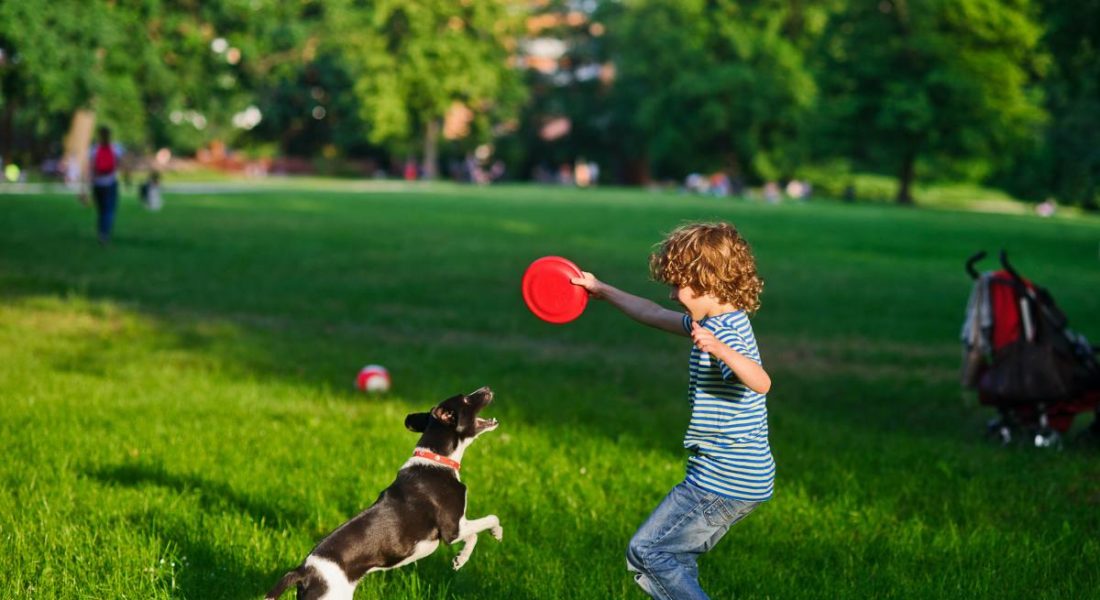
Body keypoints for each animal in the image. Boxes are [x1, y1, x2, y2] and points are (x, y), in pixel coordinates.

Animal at [266, 385, 503, 594]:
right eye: (466, 399)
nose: (487, 388)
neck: (437, 459)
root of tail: (303, 572)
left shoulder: (459, 527)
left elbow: (473, 536)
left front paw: (460, 559)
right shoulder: (452, 529)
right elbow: (490, 519)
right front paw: (497, 533)